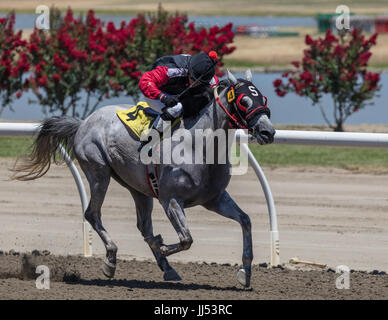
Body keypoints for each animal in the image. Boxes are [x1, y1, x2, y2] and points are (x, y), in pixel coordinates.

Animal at [12, 70, 276, 288]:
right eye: (243, 100)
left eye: (263, 100)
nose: (268, 132)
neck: (199, 146)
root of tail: (83, 122)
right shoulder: (171, 200)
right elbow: (186, 239)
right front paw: (163, 246)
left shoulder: (214, 198)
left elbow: (245, 221)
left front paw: (245, 273)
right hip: (99, 172)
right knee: (93, 214)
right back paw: (111, 260)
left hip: (137, 187)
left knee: (143, 226)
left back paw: (167, 268)